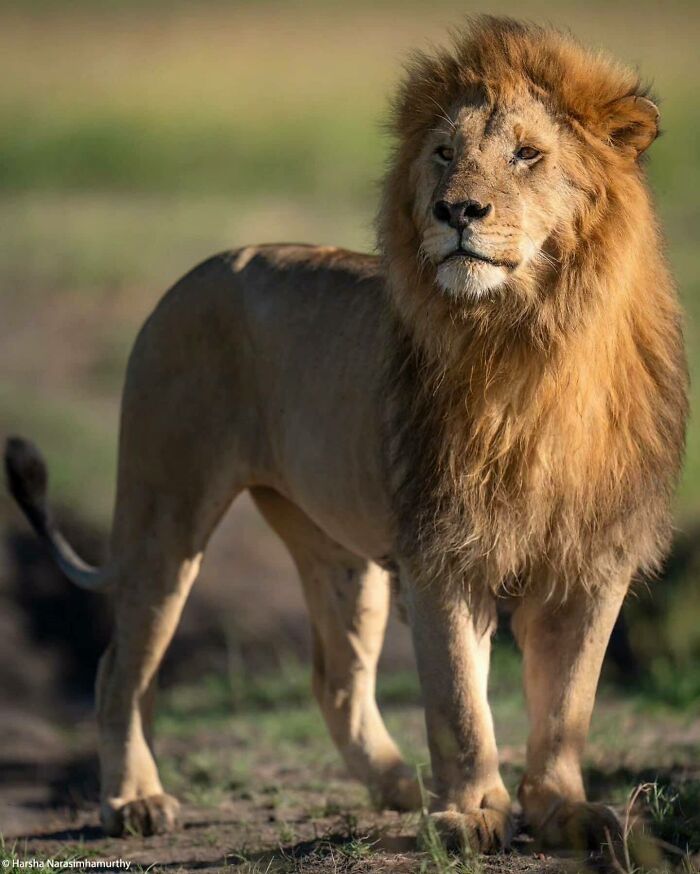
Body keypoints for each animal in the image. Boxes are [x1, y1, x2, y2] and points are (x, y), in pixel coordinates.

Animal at [5, 16, 687, 855]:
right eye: (444, 153)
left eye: (529, 154)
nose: (457, 211)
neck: (529, 344)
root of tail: (200, 269)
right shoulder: (440, 552)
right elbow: (460, 702)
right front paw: (472, 813)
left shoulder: (594, 560)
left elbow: (567, 707)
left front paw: (565, 812)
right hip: (165, 513)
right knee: (118, 669)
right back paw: (135, 800)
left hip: (339, 553)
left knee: (334, 678)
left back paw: (402, 787)